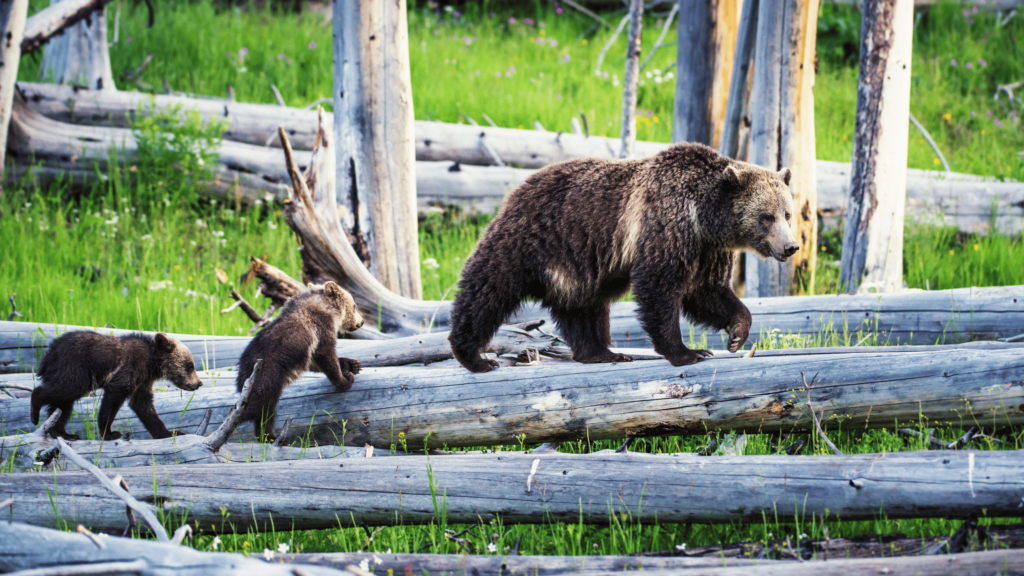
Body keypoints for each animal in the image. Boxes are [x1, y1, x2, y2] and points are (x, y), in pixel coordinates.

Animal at [32, 330, 203, 436]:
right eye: (190, 365)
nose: (199, 383)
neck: (152, 363)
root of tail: (49, 353)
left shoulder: (143, 380)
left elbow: (142, 405)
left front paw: (169, 432)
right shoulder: (129, 370)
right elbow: (112, 401)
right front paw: (109, 433)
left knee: (62, 405)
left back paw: (62, 432)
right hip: (74, 368)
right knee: (63, 390)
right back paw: (35, 413)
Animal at [234, 280, 364, 440]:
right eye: (355, 305)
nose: (361, 322)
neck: (328, 309)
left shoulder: (307, 349)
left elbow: (315, 361)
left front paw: (352, 364)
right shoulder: (321, 327)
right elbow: (325, 354)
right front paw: (345, 380)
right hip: (267, 376)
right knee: (262, 407)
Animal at [448, 141, 798, 368]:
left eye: (787, 213)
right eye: (766, 216)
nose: (790, 246)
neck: (704, 217)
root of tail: (518, 187)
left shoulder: (708, 249)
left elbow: (706, 291)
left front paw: (737, 333)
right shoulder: (666, 225)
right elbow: (659, 286)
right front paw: (687, 352)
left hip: (578, 264)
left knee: (583, 307)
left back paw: (601, 352)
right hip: (530, 239)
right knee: (488, 290)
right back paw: (473, 355)